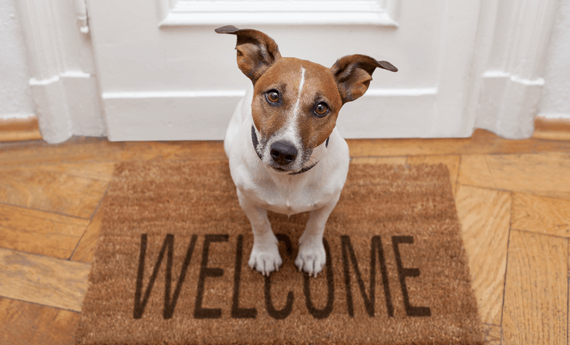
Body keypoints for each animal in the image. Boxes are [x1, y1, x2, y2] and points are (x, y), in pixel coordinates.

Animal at [215, 24, 398, 276]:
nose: (283, 152)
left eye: (321, 108)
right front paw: (265, 253)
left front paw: (310, 253)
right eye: (273, 95)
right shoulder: (247, 199)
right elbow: (260, 225)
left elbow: (316, 225)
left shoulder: (329, 200)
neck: (290, 180)